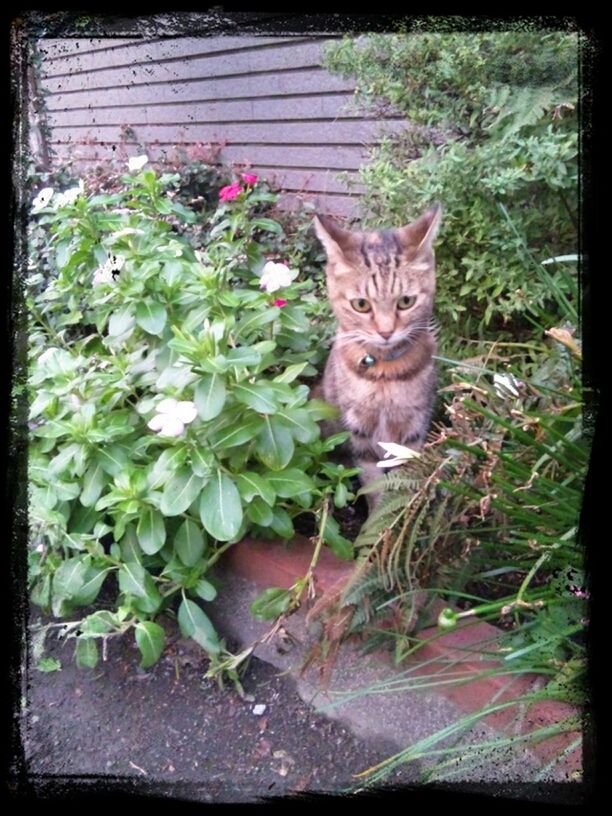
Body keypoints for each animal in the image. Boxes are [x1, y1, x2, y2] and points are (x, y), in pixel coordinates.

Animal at [316, 206, 440, 504]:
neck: (385, 374)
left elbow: (402, 481)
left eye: (406, 301)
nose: (385, 332)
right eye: (361, 304)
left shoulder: (412, 431)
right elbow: (373, 485)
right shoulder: (359, 433)